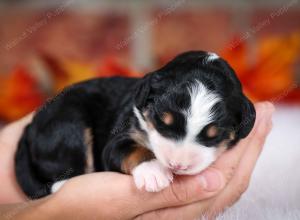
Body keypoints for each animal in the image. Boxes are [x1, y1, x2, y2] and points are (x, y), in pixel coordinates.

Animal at [15, 50, 255, 199]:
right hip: (68, 125)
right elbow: (129, 148)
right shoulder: (117, 138)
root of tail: (30, 125)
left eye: (214, 136)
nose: (177, 165)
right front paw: (153, 172)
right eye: (162, 121)